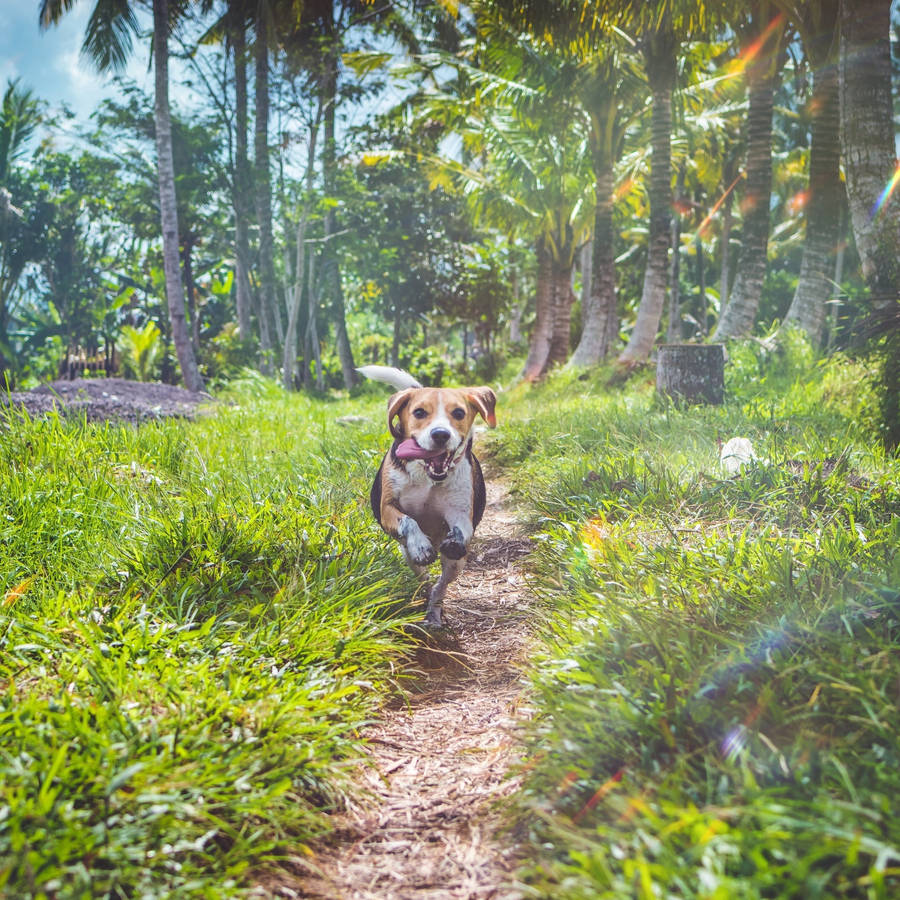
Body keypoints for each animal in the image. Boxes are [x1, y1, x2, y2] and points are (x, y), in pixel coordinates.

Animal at [358, 366, 500, 624]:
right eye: (419, 412)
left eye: (458, 412)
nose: (441, 434)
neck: (428, 476)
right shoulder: (387, 509)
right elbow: (409, 521)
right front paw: (421, 546)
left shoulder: (460, 513)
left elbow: (461, 528)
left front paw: (455, 539)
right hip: (407, 555)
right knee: (422, 577)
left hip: (456, 564)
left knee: (440, 585)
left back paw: (434, 610)